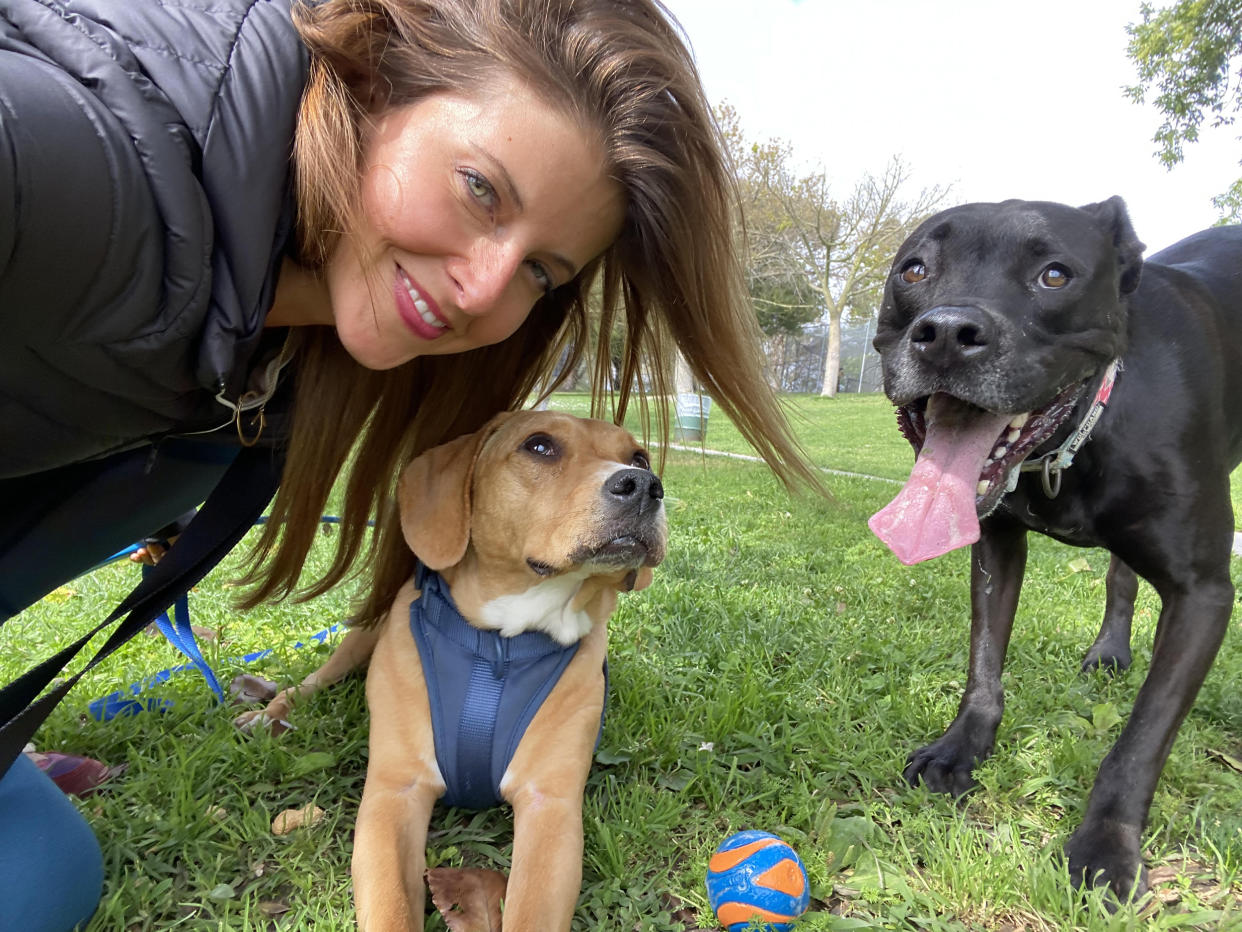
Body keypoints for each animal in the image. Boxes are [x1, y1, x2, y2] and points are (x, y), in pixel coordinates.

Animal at [234, 412, 660, 929]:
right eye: (539, 446)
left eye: (638, 456)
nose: (645, 485)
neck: (499, 645)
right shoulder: (393, 793)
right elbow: (392, 909)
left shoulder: (550, 806)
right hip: (358, 641)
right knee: (307, 684)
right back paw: (266, 713)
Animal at [869, 198, 1237, 904]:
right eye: (915, 269)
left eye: (1056, 275)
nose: (947, 333)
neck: (1075, 442)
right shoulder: (996, 545)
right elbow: (984, 665)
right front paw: (960, 749)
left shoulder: (1203, 592)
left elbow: (1142, 739)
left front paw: (1106, 846)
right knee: (1121, 575)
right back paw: (1110, 650)